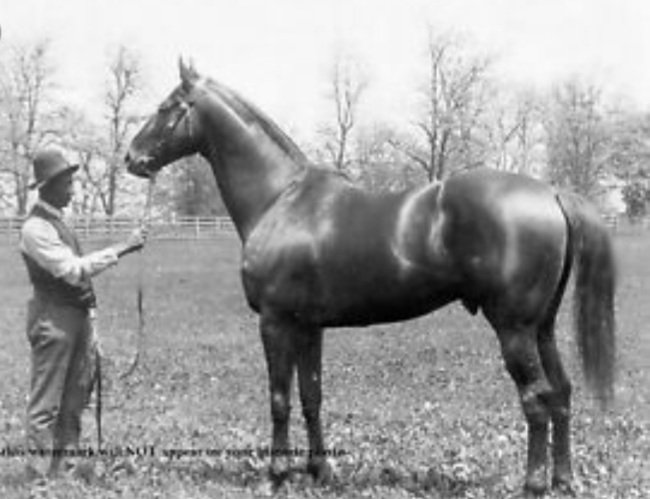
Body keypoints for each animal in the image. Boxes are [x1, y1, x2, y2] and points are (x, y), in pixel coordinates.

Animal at [125, 60, 616, 496]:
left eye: (167, 106)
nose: (132, 158)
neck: (280, 199)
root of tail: (550, 193)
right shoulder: (308, 326)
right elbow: (311, 396)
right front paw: (319, 471)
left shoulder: (274, 322)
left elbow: (279, 399)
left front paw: (277, 475)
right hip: (542, 327)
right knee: (561, 393)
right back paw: (563, 480)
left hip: (513, 329)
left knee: (536, 400)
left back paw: (534, 484)